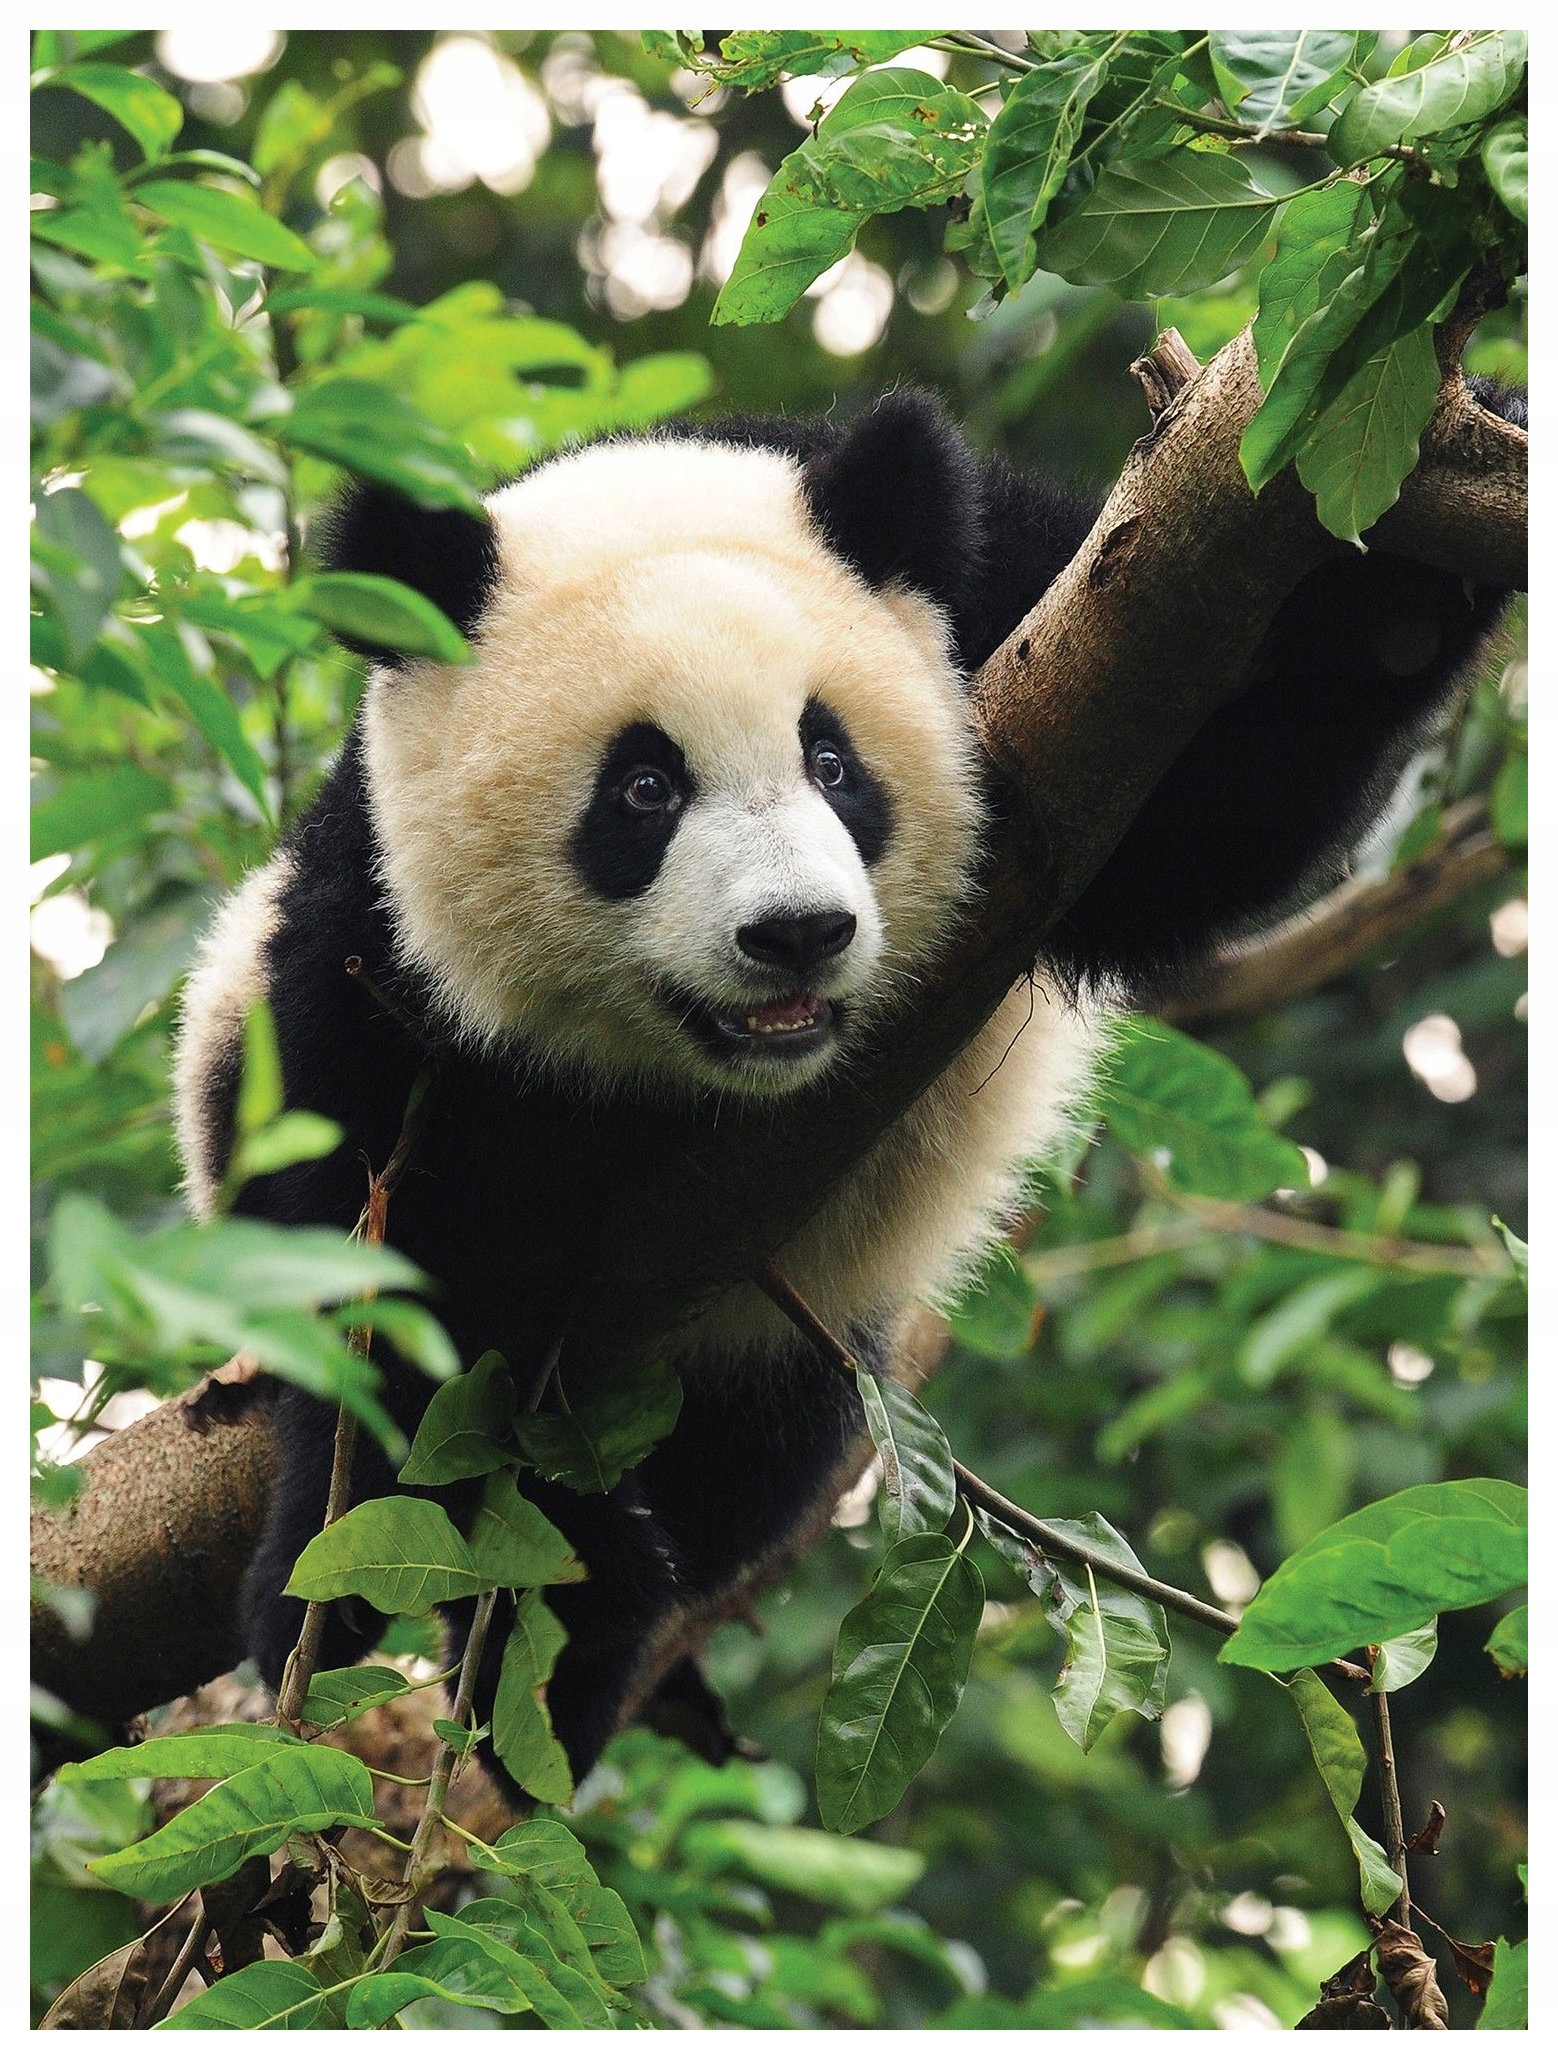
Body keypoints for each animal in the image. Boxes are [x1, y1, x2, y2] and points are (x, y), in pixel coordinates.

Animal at [173, 386, 1519, 1788]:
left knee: (751, 1464)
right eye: (643, 788)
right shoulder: (374, 953)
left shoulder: (1029, 618)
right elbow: (393, 1279)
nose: (796, 932)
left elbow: (1207, 807)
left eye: (832, 760)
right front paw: (446, 1593)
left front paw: (1437, 506)